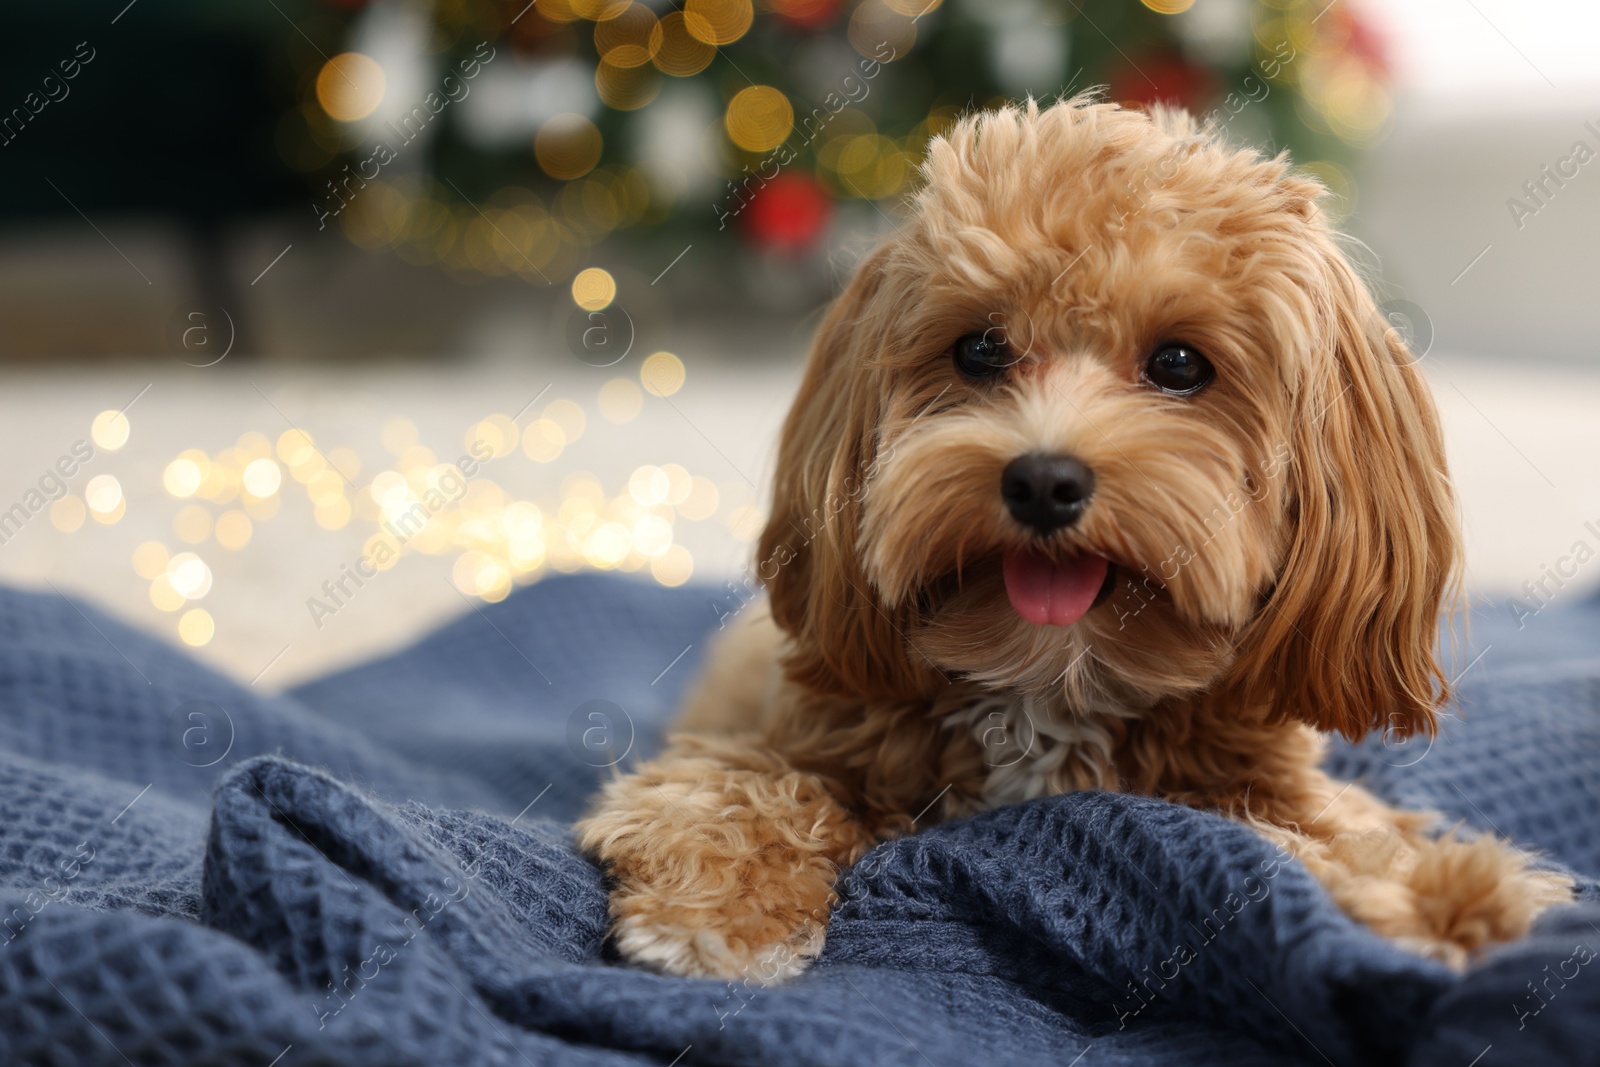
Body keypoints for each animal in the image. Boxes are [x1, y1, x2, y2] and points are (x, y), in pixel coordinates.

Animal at [572, 97, 1561, 985]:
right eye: (979, 349)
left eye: (1179, 364)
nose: (1043, 480)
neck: (1055, 686)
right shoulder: (791, 733)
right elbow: (733, 785)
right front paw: (717, 908)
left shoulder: (1260, 791)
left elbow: (1308, 837)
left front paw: (1447, 894)